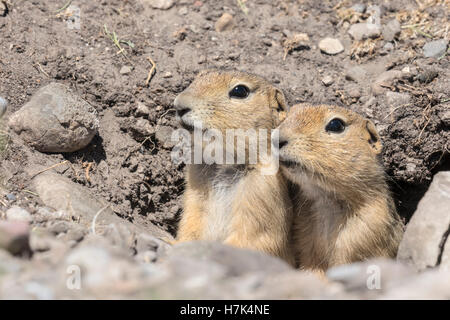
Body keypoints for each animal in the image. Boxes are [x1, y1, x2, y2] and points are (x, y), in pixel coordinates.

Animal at [173, 70, 296, 264]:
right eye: (198, 76)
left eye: (240, 91)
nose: (179, 104)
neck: (226, 162)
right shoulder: (195, 192)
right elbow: (190, 224)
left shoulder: (261, 193)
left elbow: (253, 238)